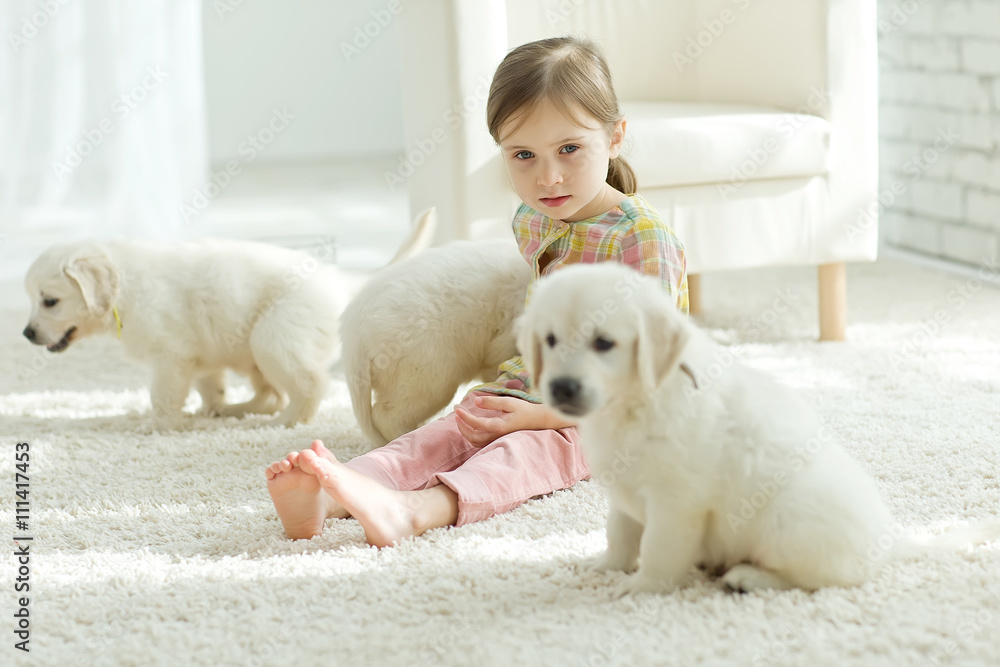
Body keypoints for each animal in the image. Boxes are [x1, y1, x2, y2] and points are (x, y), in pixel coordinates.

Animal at [23, 207, 436, 428]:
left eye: (50, 301)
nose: (27, 334)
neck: (125, 287)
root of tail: (336, 277)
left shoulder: (170, 356)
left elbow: (163, 396)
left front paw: (157, 425)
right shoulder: (197, 357)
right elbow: (210, 385)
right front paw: (207, 409)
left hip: (272, 338)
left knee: (310, 383)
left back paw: (287, 421)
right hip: (256, 353)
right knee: (269, 393)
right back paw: (235, 410)